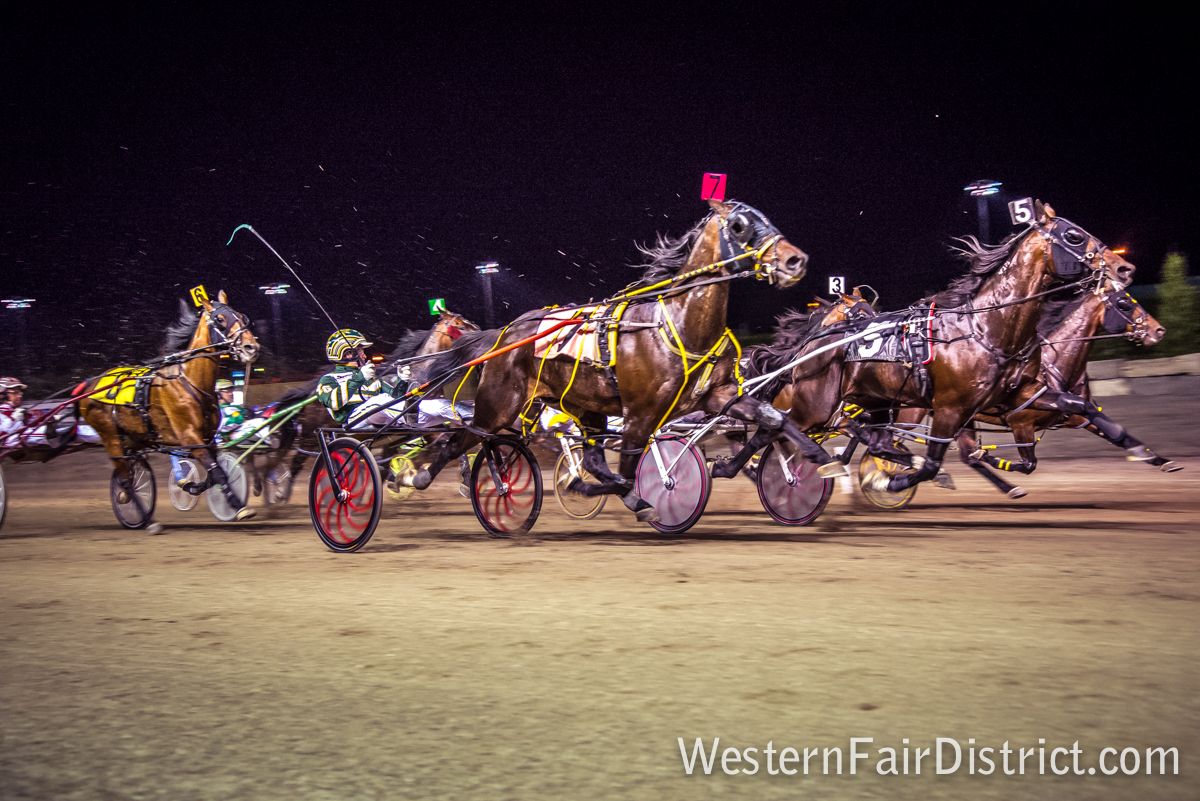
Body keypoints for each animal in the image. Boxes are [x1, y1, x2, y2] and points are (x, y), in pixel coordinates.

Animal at [78, 291, 261, 527]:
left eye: (241, 316)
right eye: (220, 319)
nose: (251, 348)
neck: (190, 380)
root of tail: (90, 386)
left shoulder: (207, 439)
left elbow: (213, 474)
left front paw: (190, 485)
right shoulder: (190, 436)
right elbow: (218, 474)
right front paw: (238, 505)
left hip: (136, 436)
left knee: (128, 470)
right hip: (110, 436)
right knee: (125, 479)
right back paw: (146, 520)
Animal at [412, 200, 835, 522]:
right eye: (740, 225)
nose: (795, 260)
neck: (678, 323)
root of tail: (503, 334)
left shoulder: (718, 395)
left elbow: (774, 418)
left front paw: (817, 456)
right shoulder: (641, 412)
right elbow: (631, 467)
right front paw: (645, 494)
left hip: (585, 406)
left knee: (593, 458)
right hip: (498, 407)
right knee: (458, 441)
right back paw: (418, 478)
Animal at [739, 201, 1132, 494]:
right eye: (1074, 235)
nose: (1124, 267)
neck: (984, 328)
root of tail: (811, 345)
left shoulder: (1017, 397)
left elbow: (1078, 407)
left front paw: (1131, 443)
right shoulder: (951, 407)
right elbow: (929, 464)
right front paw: (887, 480)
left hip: (872, 403)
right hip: (819, 406)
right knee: (777, 429)